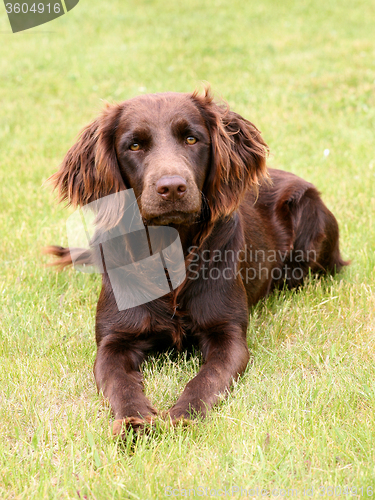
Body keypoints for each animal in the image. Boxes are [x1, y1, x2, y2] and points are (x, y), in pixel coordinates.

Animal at [46, 90, 346, 434]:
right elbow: (119, 382)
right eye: (133, 145)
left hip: (310, 219)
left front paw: (182, 416)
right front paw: (135, 421)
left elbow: (206, 379)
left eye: (191, 139)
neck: (169, 251)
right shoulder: (114, 339)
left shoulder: (227, 334)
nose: (172, 187)